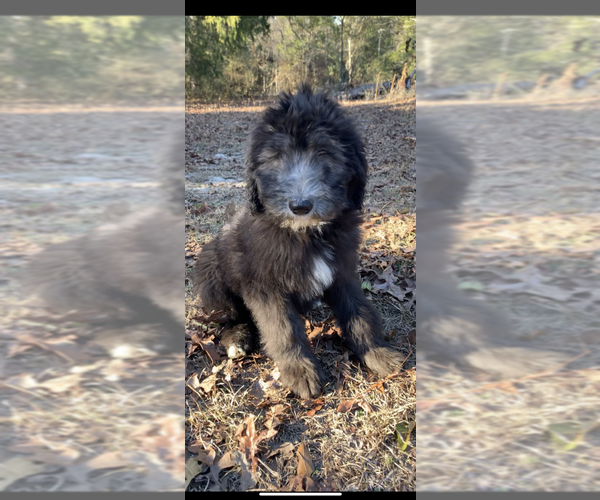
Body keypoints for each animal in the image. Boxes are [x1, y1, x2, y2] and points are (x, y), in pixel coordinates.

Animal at [192, 85, 400, 398]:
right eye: (277, 156)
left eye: (324, 152)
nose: (300, 206)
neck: (305, 234)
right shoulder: (265, 286)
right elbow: (283, 329)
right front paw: (300, 371)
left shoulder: (342, 270)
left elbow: (359, 312)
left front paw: (377, 353)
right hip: (213, 275)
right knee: (230, 317)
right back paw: (237, 338)